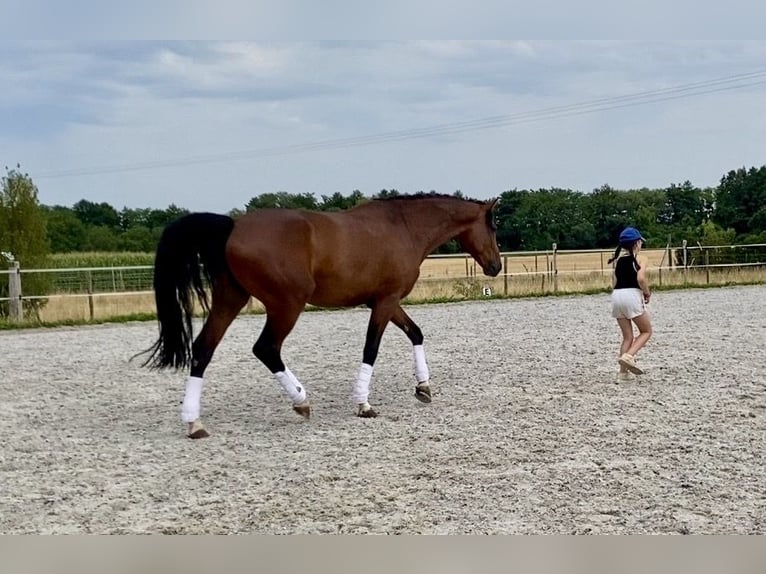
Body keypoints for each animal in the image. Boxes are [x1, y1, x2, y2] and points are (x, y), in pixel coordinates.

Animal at [140, 192, 502, 438]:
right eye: (493, 227)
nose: (496, 266)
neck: (404, 228)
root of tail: (232, 226)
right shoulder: (384, 302)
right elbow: (371, 349)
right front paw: (363, 404)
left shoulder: (385, 301)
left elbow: (416, 333)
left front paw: (423, 387)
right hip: (287, 305)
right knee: (266, 348)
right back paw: (301, 400)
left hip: (231, 299)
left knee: (203, 350)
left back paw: (194, 423)